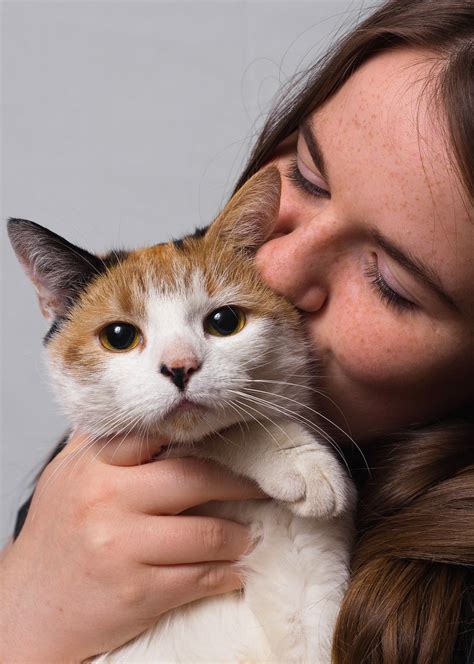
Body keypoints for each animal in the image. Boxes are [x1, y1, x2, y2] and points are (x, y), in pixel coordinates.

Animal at [7, 167, 356, 664]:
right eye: (118, 336)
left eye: (225, 321)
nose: (180, 367)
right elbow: (214, 434)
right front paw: (299, 460)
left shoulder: (307, 604)